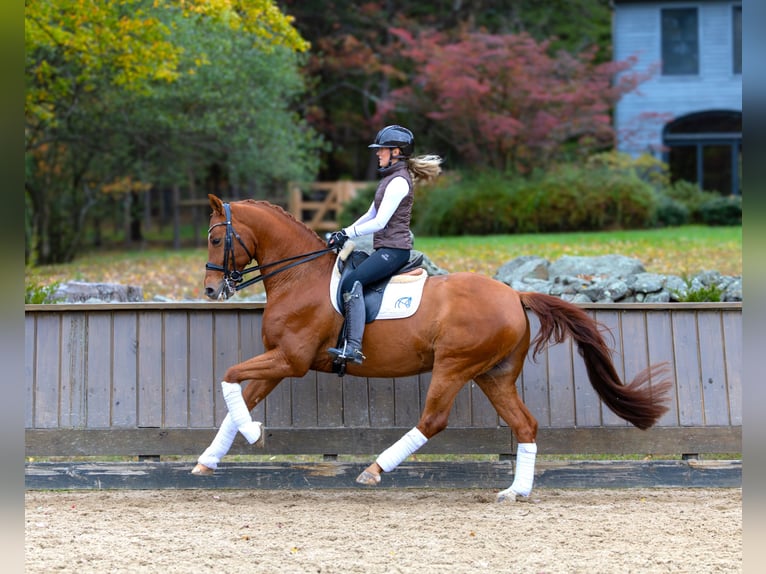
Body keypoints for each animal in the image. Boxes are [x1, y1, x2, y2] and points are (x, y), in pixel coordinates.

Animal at [192, 194, 672, 501]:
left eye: (216, 239)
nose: (213, 290)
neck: (299, 277)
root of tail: (514, 295)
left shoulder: (290, 360)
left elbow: (229, 377)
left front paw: (253, 433)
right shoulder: (280, 360)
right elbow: (236, 398)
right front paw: (209, 459)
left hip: (455, 366)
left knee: (433, 420)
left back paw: (374, 470)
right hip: (493, 374)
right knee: (525, 424)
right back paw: (516, 490)